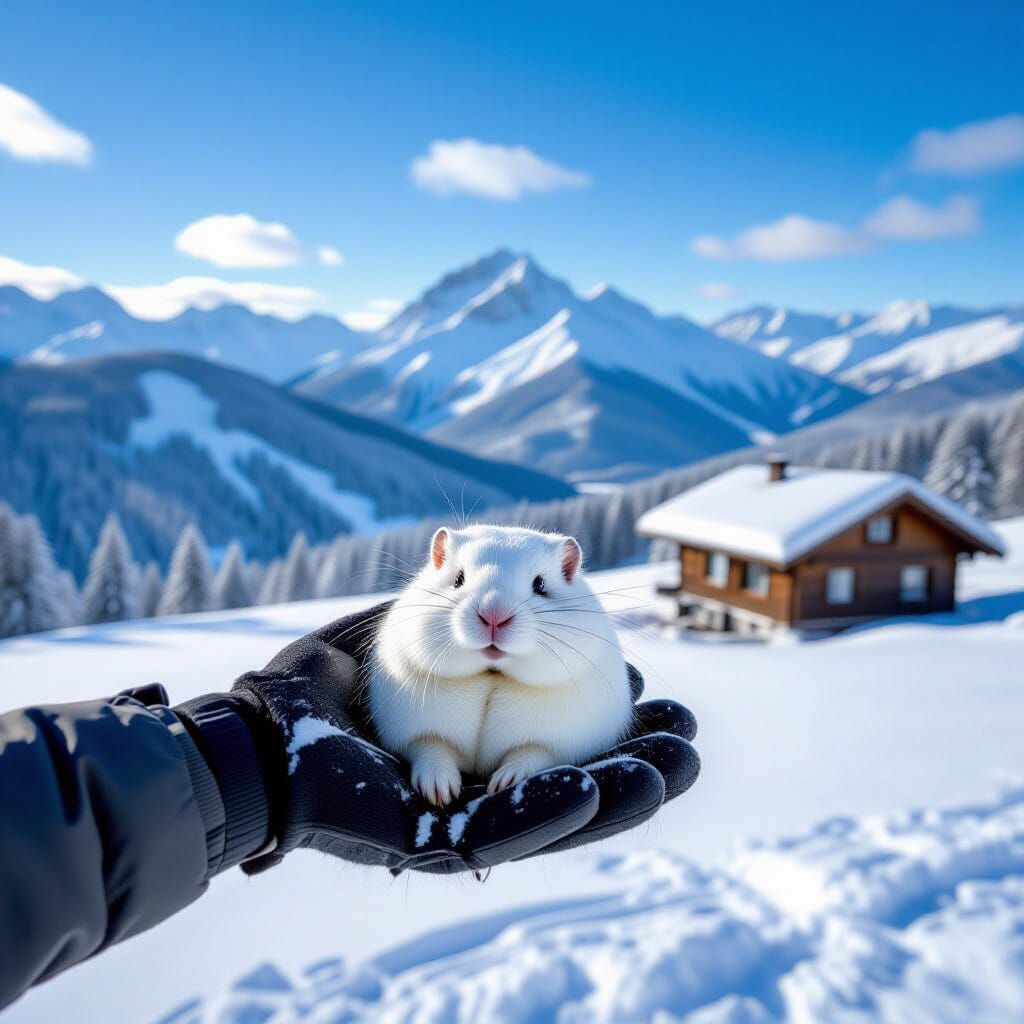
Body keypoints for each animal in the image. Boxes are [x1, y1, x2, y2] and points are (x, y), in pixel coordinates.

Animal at [364, 524, 633, 806]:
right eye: (458, 579)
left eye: (540, 584)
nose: (494, 615)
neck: (492, 672)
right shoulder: (418, 732)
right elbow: (431, 751)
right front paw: (439, 789)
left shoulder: (554, 745)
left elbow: (530, 755)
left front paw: (507, 780)